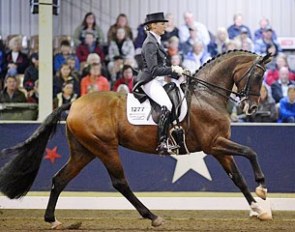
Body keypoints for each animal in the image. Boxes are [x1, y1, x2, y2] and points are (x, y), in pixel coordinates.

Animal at [0, 49, 272, 229]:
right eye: (258, 76)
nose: (251, 107)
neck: (207, 95)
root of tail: (75, 103)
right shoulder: (213, 143)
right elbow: (251, 152)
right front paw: (262, 188)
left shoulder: (217, 147)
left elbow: (237, 177)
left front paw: (258, 209)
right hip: (105, 148)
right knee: (120, 183)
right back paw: (153, 216)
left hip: (84, 151)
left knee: (60, 179)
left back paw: (53, 220)